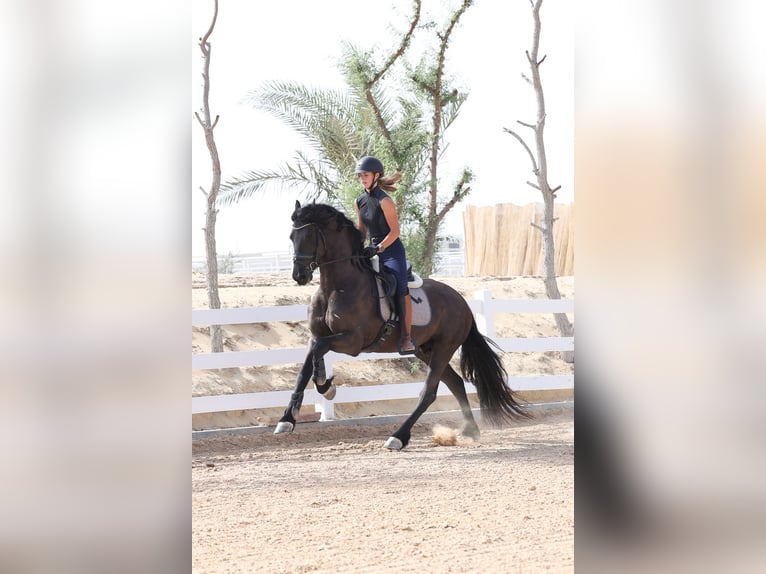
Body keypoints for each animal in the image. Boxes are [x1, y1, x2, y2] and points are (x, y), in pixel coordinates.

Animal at [275, 200, 530, 450]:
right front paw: (288, 418)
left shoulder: (352, 341)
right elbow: (305, 369)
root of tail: (461, 301)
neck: (336, 287)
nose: (299, 276)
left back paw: (398, 437)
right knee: (455, 383)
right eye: (291, 236)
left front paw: (325, 386)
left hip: (444, 348)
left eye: (309, 236)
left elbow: (319, 353)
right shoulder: (316, 336)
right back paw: (470, 430)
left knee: (429, 392)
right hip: (425, 350)